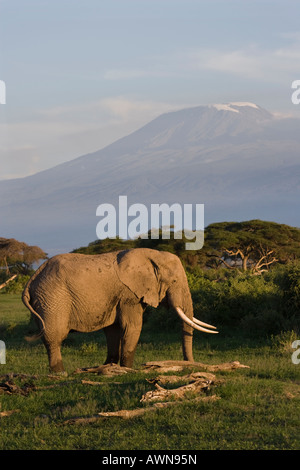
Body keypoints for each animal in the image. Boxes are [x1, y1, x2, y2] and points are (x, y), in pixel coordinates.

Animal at [22, 248, 217, 372]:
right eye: (174, 281)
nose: (190, 365)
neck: (152, 255)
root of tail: (31, 281)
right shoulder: (128, 294)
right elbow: (133, 326)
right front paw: (127, 369)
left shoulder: (117, 298)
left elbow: (113, 330)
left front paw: (108, 367)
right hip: (52, 299)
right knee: (55, 336)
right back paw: (60, 373)